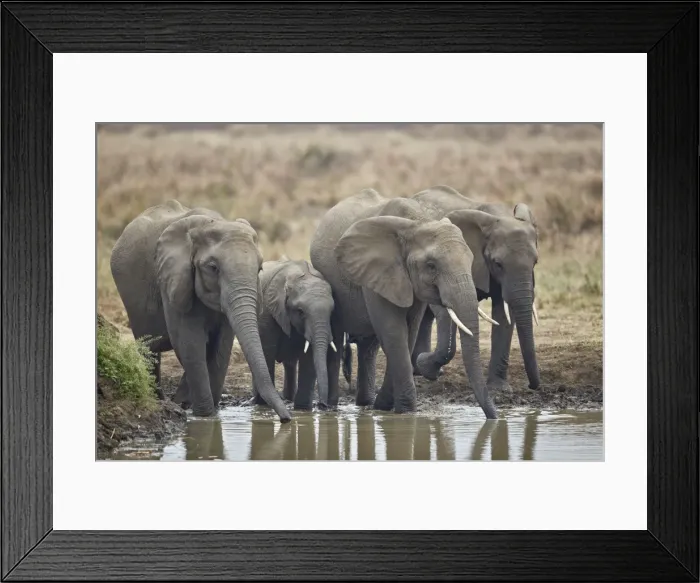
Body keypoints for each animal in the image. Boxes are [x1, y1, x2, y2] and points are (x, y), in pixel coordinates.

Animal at [109, 200, 292, 422]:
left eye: (259, 269)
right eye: (213, 268)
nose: (286, 419)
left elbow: (221, 347)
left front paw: (206, 412)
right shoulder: (173, 279)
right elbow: (189, 342)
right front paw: (204, 416)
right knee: (150, 346)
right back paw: (161, 400)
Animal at [256, 257, 339, 410]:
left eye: (331, 312)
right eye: (300, 312)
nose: (323, 405)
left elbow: (309, 358)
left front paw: (302, 409)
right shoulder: (266, 310)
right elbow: (267, 351)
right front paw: (262, 405)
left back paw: (288, 399)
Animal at [309, 188, 498, 419]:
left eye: (471, 261)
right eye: (431, 266)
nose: (494, 417)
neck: (416, 223)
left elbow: (409, 331)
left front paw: (387, 407)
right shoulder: (379, 272)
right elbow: (393, 331)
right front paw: (406, 412)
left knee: (368, 347)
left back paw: (367, 404)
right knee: (337, 339)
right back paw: (331, 407)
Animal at [409, 185, 541, 393]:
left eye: (535, 262)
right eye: (498, 264)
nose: (532, 385)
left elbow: (505, 313)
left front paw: (500, 389)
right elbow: (445, 310)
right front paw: (426, 365)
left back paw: (419, 370)